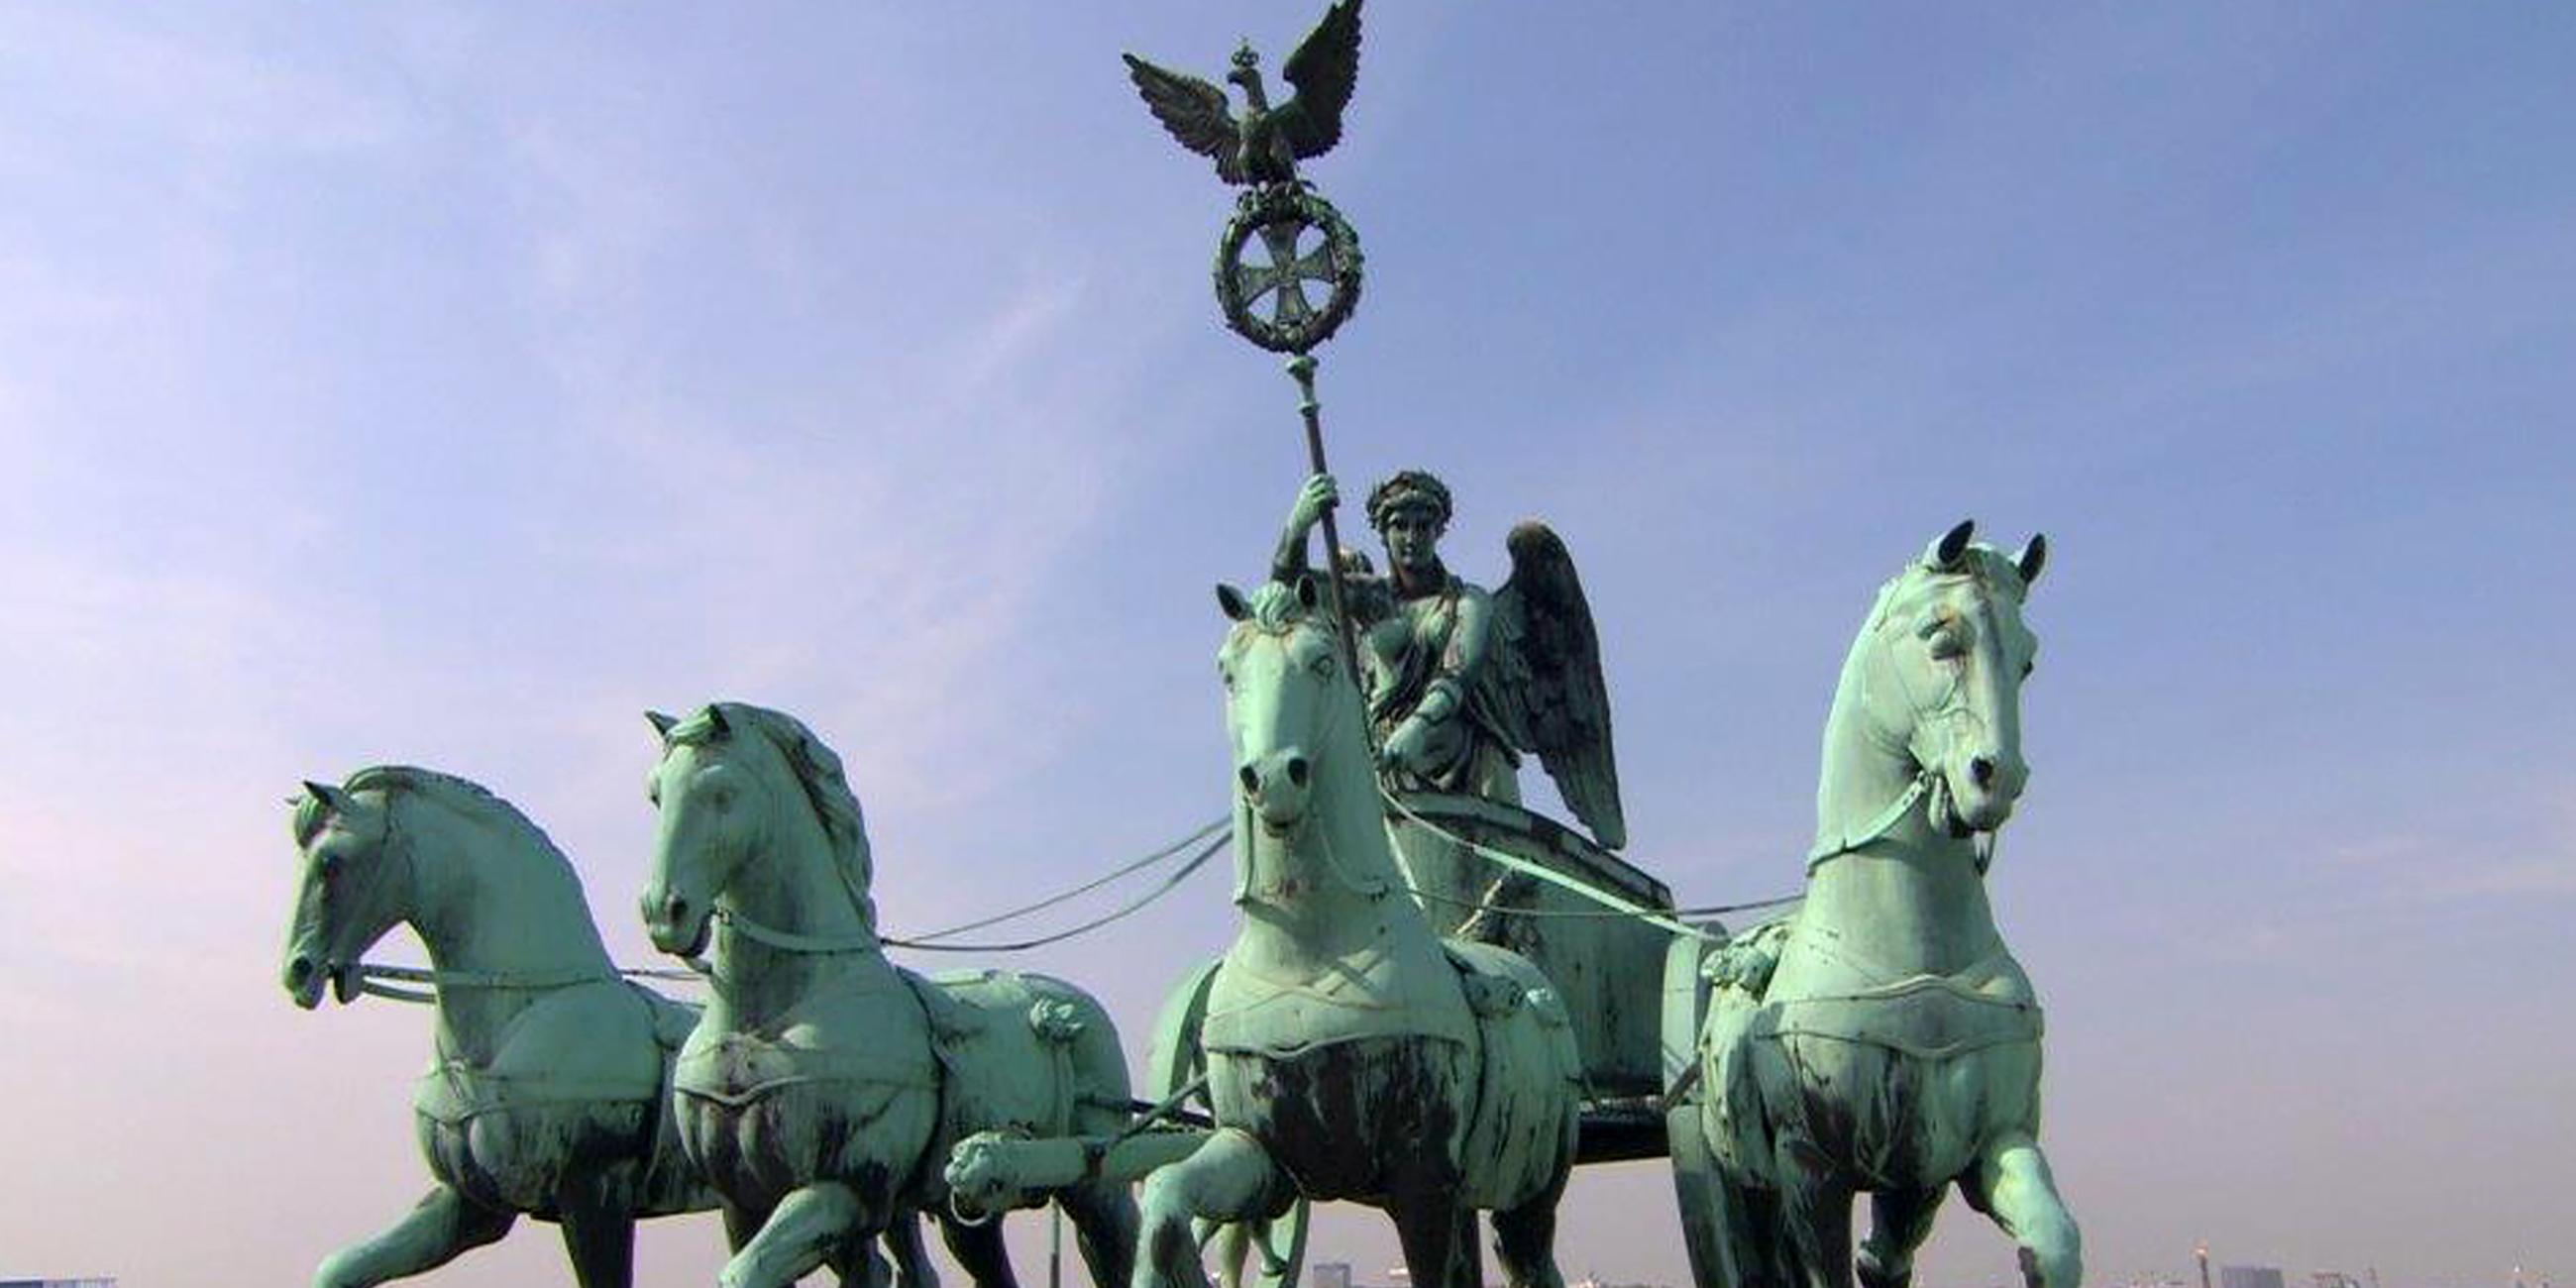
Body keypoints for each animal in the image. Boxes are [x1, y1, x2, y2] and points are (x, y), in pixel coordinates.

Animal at [641, 700, 1138, 1288]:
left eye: (721, 792)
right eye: (656, 794)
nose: (663, 912)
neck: (764, 1022)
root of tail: (1073, 1007)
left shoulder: (842, 1193)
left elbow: (746, 1272)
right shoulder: (742, 1205)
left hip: (1099, 1187)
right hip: (972, 1202)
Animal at [1133, 580, 1586, 1288]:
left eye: (1323, 662)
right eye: (1227, 671)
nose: (1273, 779)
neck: (1309, 953)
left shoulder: (1422, 1180)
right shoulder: (1262, 1158)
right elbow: (1164, 1195)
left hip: (1532, 1190)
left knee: (1529, 1259)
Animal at [1699, 517, 2081, 1288]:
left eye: (2027, 660)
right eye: (1941, 636)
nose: (1995, 779)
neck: (1912, 945)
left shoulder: (1973, 1147)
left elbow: (2053, 1243)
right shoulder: (1810, 1168)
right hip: (1746, 1187)